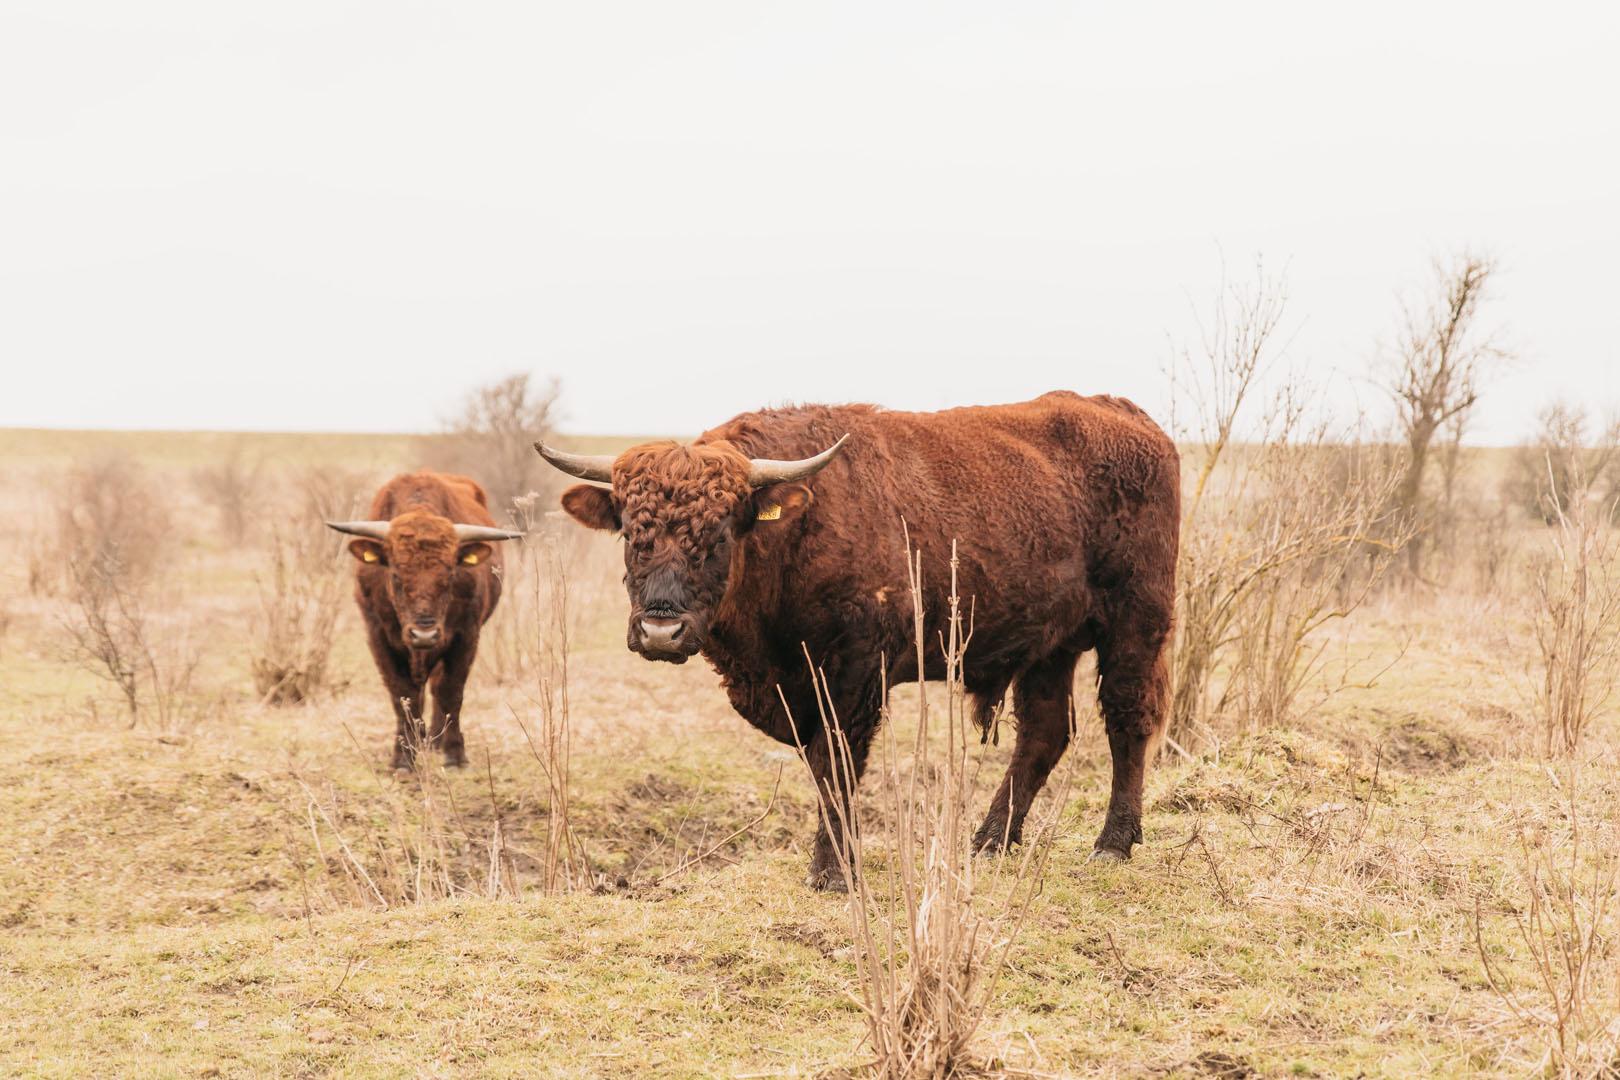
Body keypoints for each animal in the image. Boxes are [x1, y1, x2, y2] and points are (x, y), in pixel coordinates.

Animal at [328, 472, 524, 767]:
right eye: (396, 575)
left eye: (450, 574)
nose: (424, 634)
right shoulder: (379, 636)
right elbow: (402, 694)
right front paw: (403, 758)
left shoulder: (465, 637)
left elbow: (451, 691)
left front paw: (454, 754)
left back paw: (434, 739)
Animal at [537, 393, 1185, 893]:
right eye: (631, 531)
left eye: (720, 532)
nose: (660, 631)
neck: (795, 531)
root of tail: (1127, 415)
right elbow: (823, 766)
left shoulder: (853, 675)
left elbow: (838, 765)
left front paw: (831, 872)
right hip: (1050, 648)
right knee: (1044, 734)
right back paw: (989, 841)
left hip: (1135, 624)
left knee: (1129, 719)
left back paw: (1112, 842)